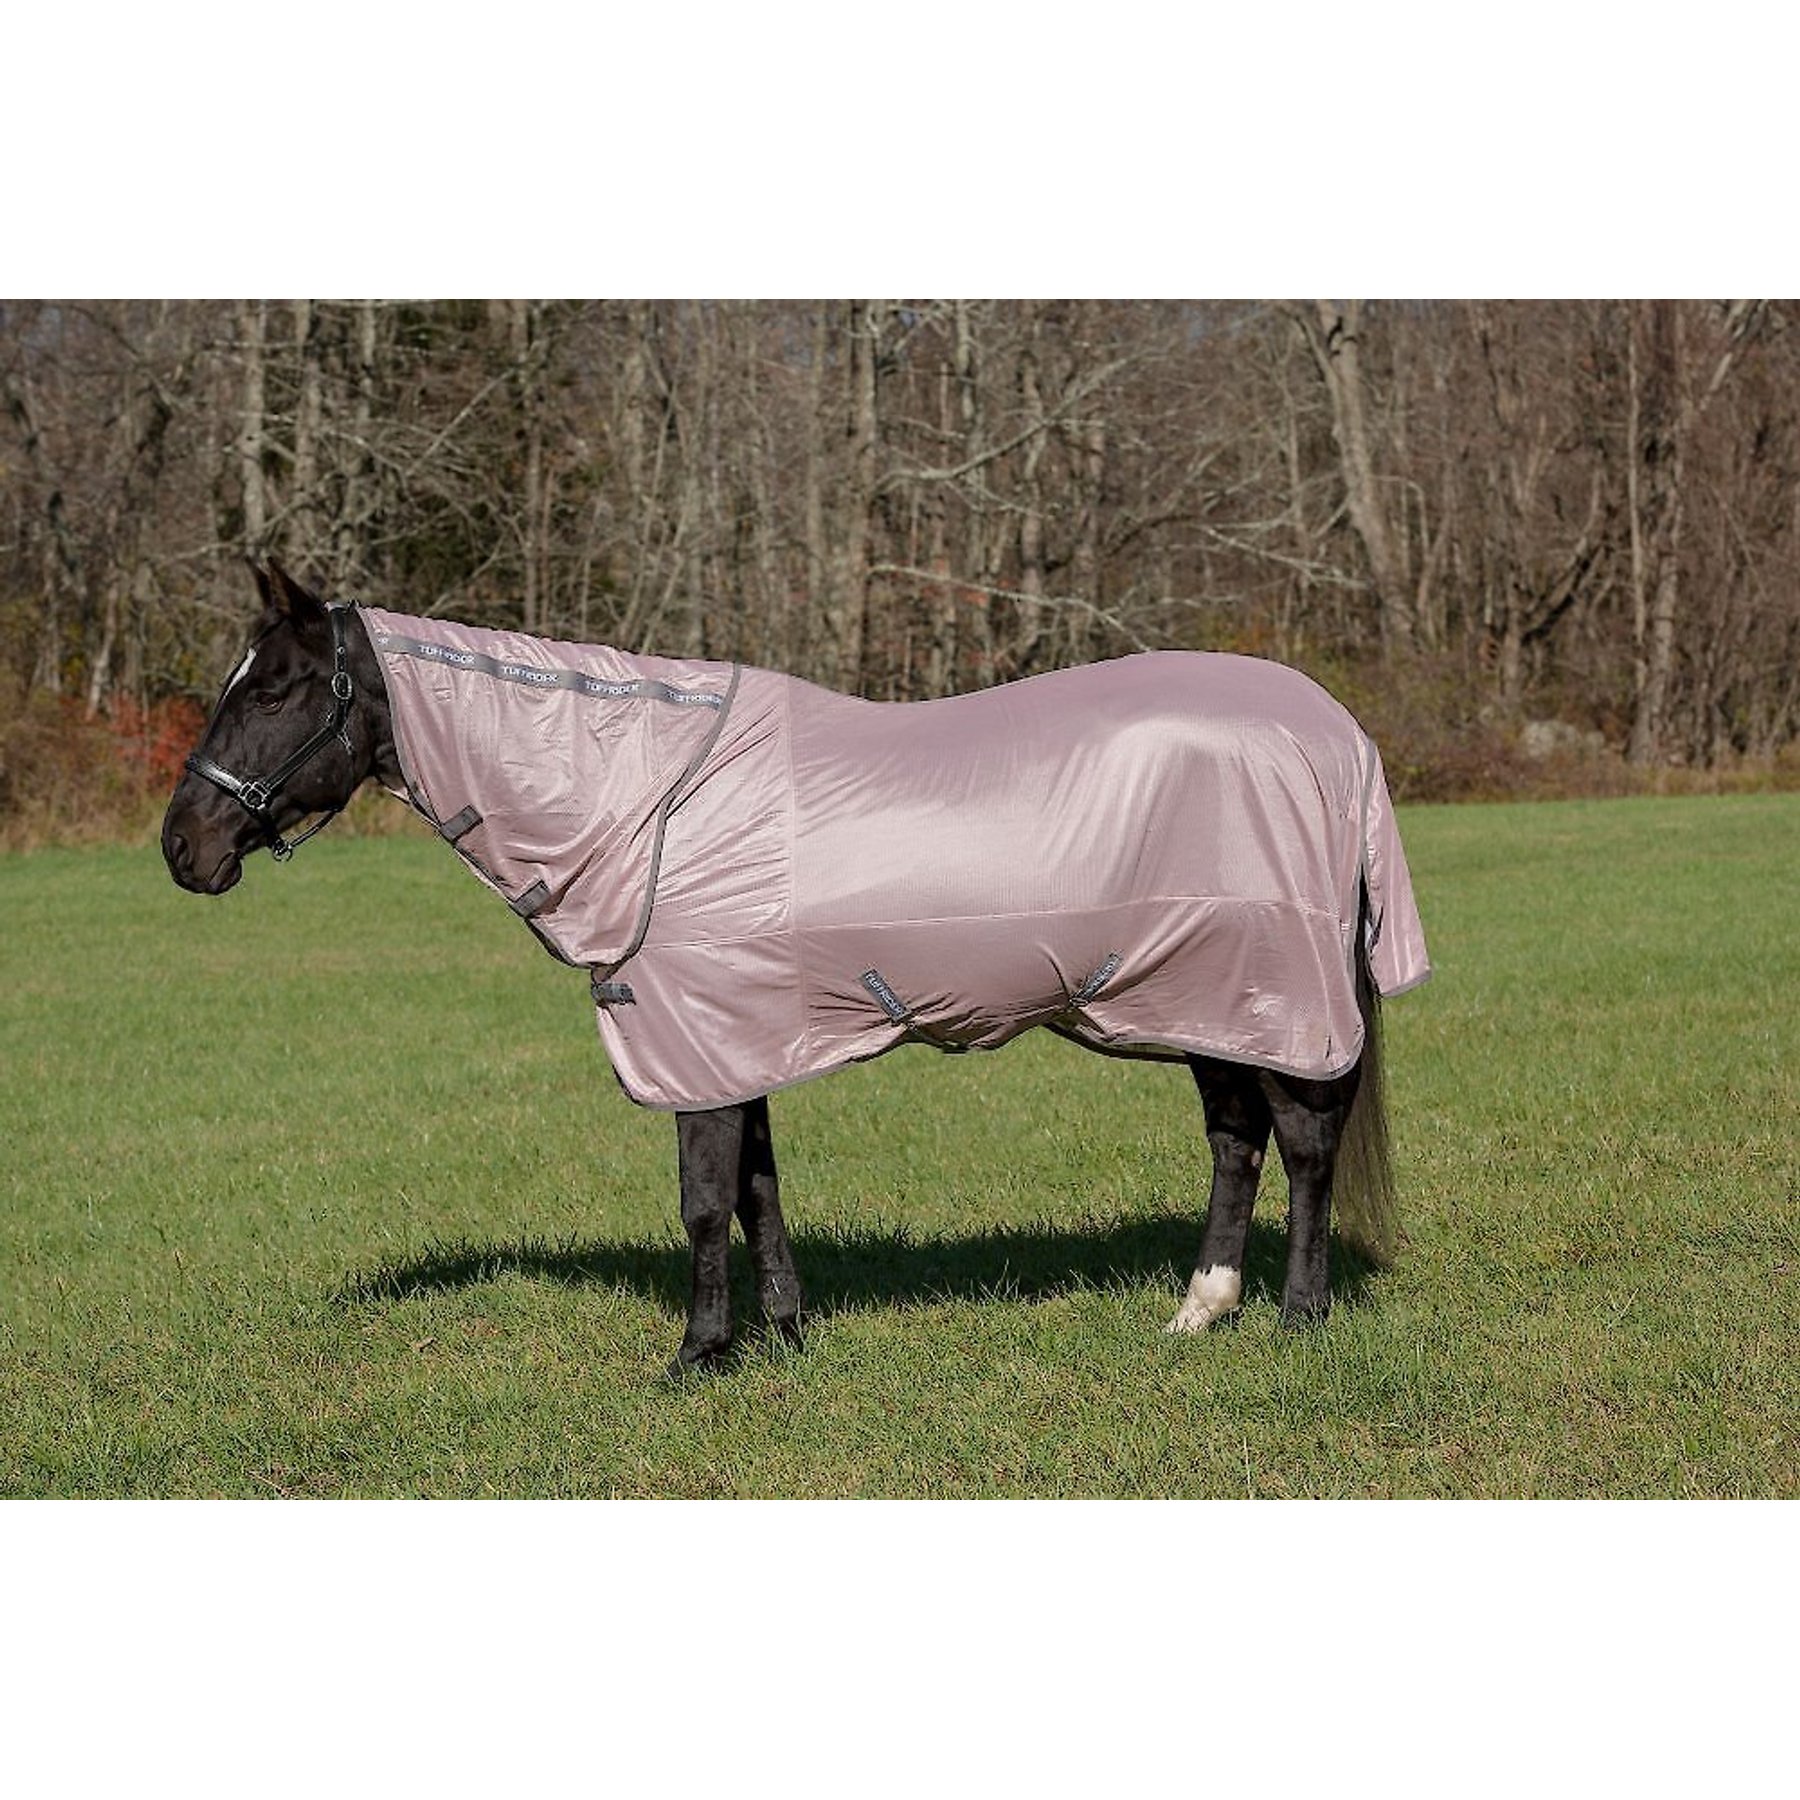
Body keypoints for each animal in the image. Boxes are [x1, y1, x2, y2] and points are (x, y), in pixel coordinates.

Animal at [162, 561, 1430, 1372]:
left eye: (272, 687)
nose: (184, 849)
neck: (649, 796)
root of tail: (1338, 734)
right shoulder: (735, 1032)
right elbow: (759, 1187)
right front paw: (784, 1335)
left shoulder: (694, 1034)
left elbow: (703, 1200)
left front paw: (697, 1354)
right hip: (1204, 1000)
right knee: (1236, 1140)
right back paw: (1198, 1312)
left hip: (1270, 994)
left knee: (1303, 1144)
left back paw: (1298, 1321)